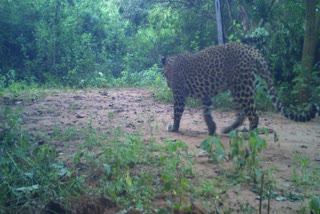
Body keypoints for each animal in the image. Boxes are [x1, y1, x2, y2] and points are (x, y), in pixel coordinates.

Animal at [162, 42, 320, 135]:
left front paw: (174, 128)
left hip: (242, 87)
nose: (168, 84)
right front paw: (212, 129)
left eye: (165, 74)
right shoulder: (206, 95)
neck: (172, 63)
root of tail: (253, 50)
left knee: (253, 115)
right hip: (238, 88)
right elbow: (206, 112)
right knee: (242, 114)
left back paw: (248, 134)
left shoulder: (179, 94)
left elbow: (177, 112)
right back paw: (228, 129)